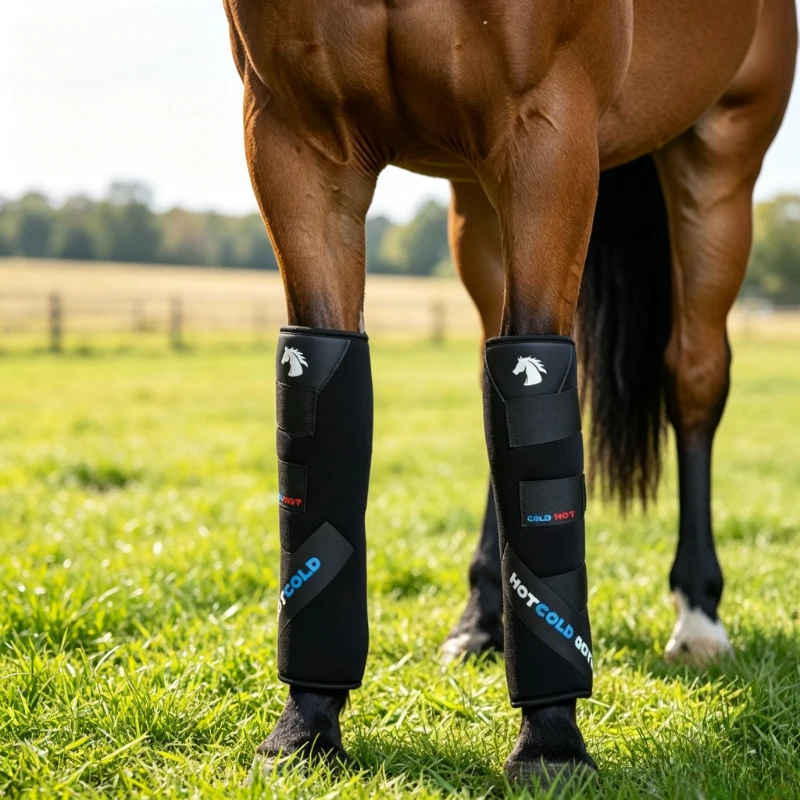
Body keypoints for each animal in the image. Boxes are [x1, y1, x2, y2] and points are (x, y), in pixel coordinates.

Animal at [222, 0, 797, 784]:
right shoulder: (294, 138)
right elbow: (319, 414)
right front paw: (306, 723)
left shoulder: (548, 134)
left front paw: (551, 741)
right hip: (475, 195)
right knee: (501, 370)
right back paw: (484, 615)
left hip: (719, 158)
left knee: (694, 378)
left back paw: (698, 613)